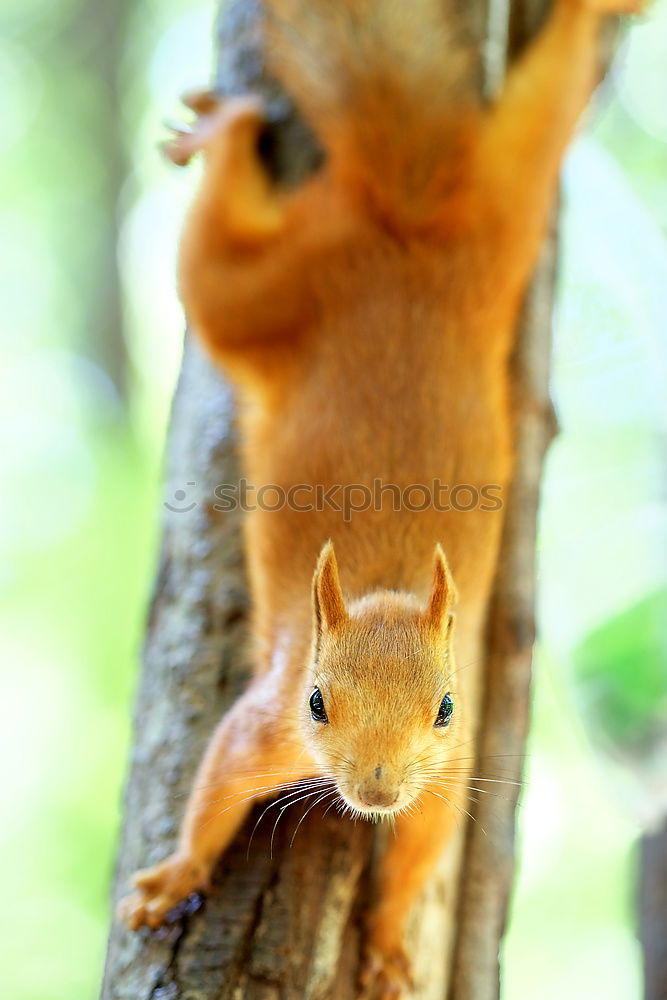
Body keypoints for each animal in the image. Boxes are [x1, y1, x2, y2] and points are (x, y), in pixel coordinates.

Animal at [120, 1, 648, 992]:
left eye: (444, 707)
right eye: (318, 704)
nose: (375, 790)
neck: (385, 590)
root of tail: (405, 226)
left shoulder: (453, 768)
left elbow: (422, 849)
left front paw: (392, 942)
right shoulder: (265, 725)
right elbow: (212, 788)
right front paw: (174, 875)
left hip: (502, 223)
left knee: (544, 111)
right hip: (261, 299)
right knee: (212, 258)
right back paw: (225, 132)